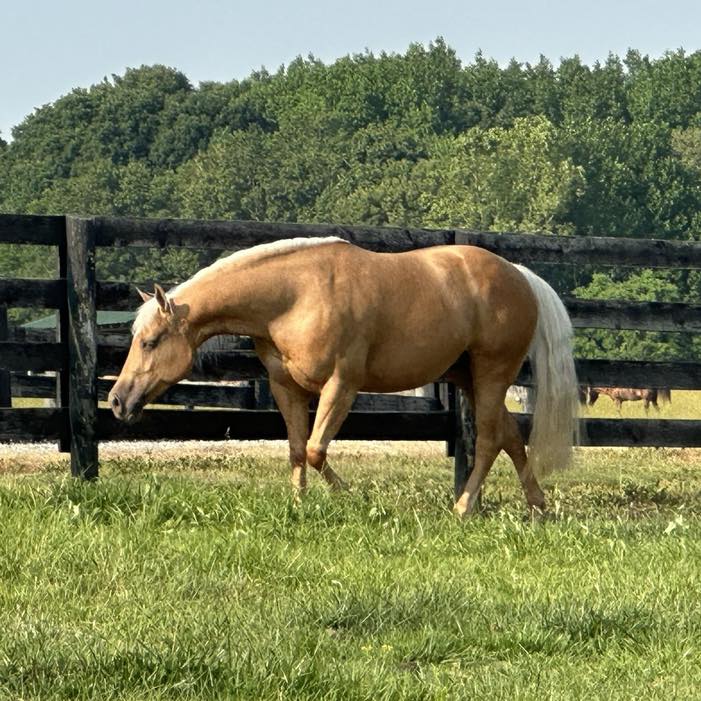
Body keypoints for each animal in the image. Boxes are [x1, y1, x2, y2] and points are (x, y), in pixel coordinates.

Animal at [108, 237, 579, 516]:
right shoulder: (286, 388)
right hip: (469, 377)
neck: (295, 295)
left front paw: (351, 497)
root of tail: (519, 275)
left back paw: (464, 508)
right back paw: (537, 508)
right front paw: (299, 506)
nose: (116, 401)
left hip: (491, 373)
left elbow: (317, 451)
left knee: (488, 440)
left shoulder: (341, 386)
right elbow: (297, 450)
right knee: (510, 437)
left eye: (149, 341)